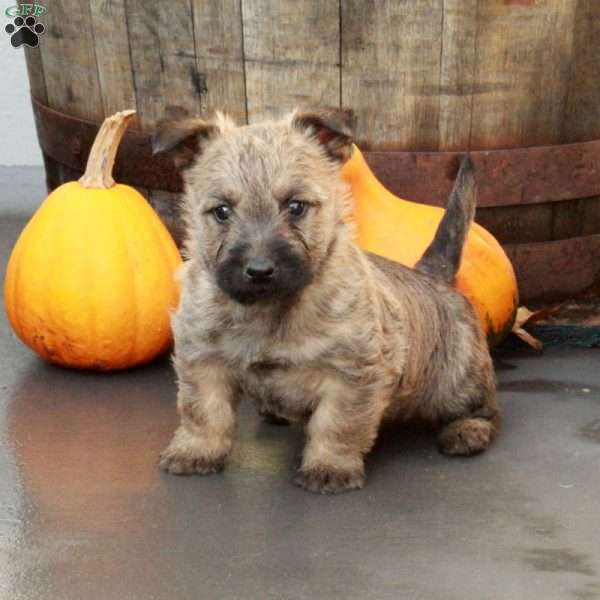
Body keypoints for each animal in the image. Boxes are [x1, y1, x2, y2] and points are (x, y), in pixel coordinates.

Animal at [152, 108, 500, 492]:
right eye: (222, 211)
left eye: (295, 206)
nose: (259, 270)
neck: (268, 313)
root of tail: (432, 275)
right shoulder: (203, 362)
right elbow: (203, 413)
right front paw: (195, 451)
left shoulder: (350, 374)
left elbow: (336, 425)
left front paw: (329, 467)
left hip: (459, 380)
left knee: (485, 410)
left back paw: (467, 431)